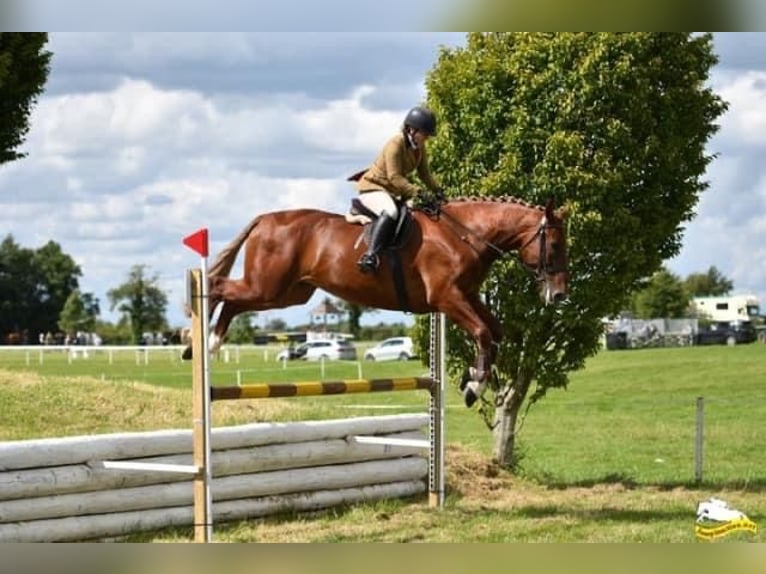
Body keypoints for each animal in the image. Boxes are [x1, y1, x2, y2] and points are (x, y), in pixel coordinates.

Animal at [190, 198, 568, 410]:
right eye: (555, 245)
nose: (560, 295)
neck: (464, 235)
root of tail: (266, 219)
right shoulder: (447, 298)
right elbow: (482, 333)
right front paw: (474, 387)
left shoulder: (468, 295)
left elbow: (495, 332)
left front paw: (471, 378)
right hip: (268, 286)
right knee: (217, 286)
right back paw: (198, 344)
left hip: (286, 294)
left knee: (232, 301)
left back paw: (209, 344)